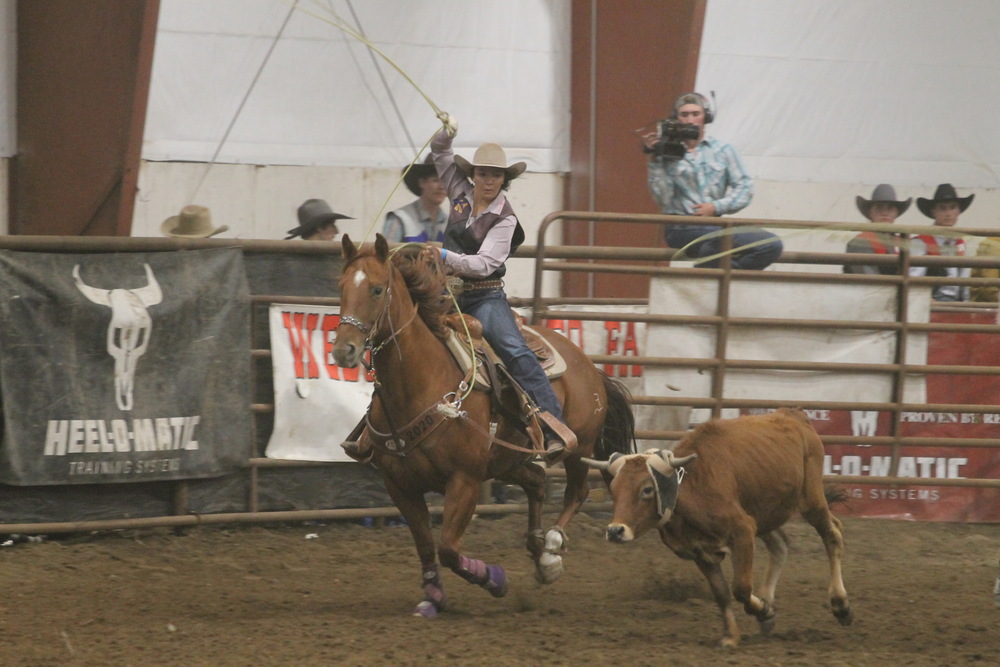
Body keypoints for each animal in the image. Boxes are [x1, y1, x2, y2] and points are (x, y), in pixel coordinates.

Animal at [334, 236, 632, 620]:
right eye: (341, 288)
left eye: (376, 289)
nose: (343, 350)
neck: (421, 382)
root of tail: (590, 366)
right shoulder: (400, 485)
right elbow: (426, 547)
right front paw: (433, 597)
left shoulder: (466, 479)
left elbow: (447, 548)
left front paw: (494, 579)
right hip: (506, 459)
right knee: (537, 482)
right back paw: (537, 548)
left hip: (578, 448)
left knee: (575, 492)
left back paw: (550, 552)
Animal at [584, 408, 856, 648]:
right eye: (614, 489)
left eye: (647, 489)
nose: (615, 531)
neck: (693, 486)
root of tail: (794, 415)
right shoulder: (698, 551)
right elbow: (722, 593)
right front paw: (733, 635)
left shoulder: (743, 531)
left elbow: (741, 589)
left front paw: (763, 611)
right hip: (764, 515)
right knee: (780, 545)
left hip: (812, 500)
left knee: (832, 534)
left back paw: (840, 606)